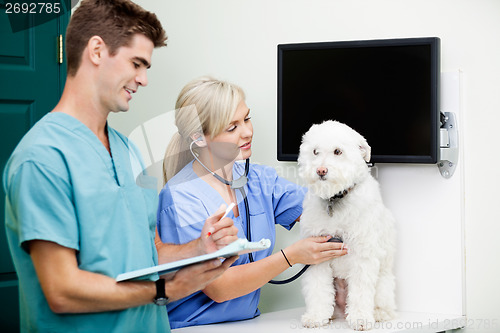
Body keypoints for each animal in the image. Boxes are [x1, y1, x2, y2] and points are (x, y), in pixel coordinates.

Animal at [298, 120, 396, 330]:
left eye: (338, 151)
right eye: (315, 151)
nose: (321, 171)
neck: (334, 200)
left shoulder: (362, 256)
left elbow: (360, 291)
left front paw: (360, 318)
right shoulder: (318, 256)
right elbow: (318, 289)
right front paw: (316, 316)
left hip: (383, 283)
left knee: (384, 303)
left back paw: (379, 313)